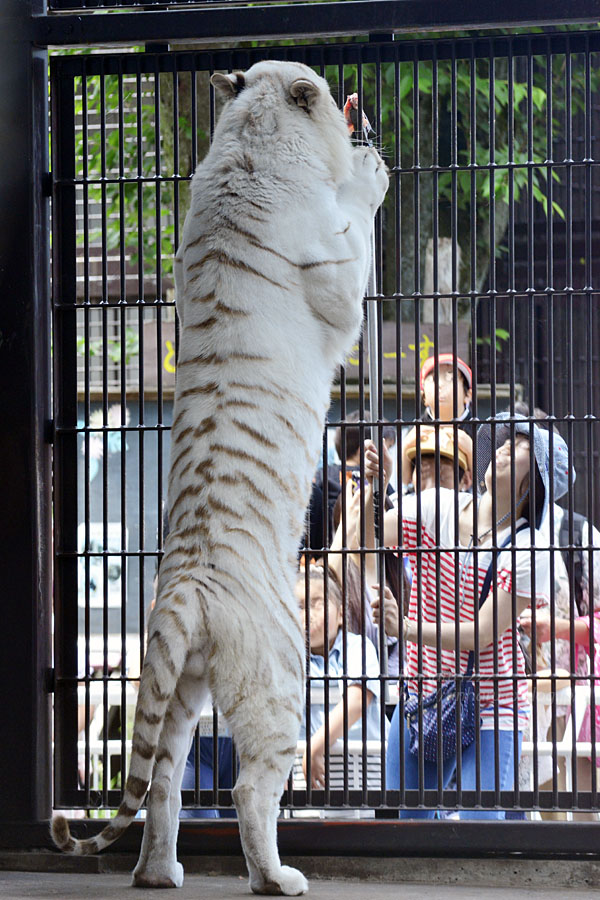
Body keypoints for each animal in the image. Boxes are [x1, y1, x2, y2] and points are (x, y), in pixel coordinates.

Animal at [52, 61, 390, 892]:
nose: (352, 104)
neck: (250, 140)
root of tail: (184, 591)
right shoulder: (338, 275)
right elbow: (357, 227)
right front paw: (370, 171)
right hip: (281, 679)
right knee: (247, 789)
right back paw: (277, 877)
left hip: (177, 687)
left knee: (163, 782)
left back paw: (158, 873)